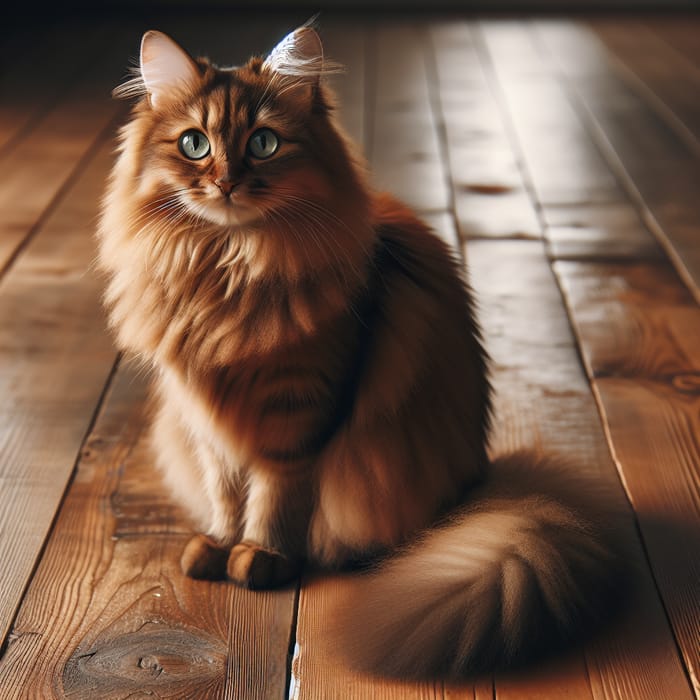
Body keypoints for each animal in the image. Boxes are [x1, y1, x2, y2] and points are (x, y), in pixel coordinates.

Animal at [95, 26, 628, 680]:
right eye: (195, 144)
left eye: (263, 143)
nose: (224, 181)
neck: (228, 271)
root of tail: (480, 485)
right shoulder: (204, 419)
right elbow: (224, 493)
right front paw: (218, 546)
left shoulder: (298, 415)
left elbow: (274, 497)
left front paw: (262, 557)